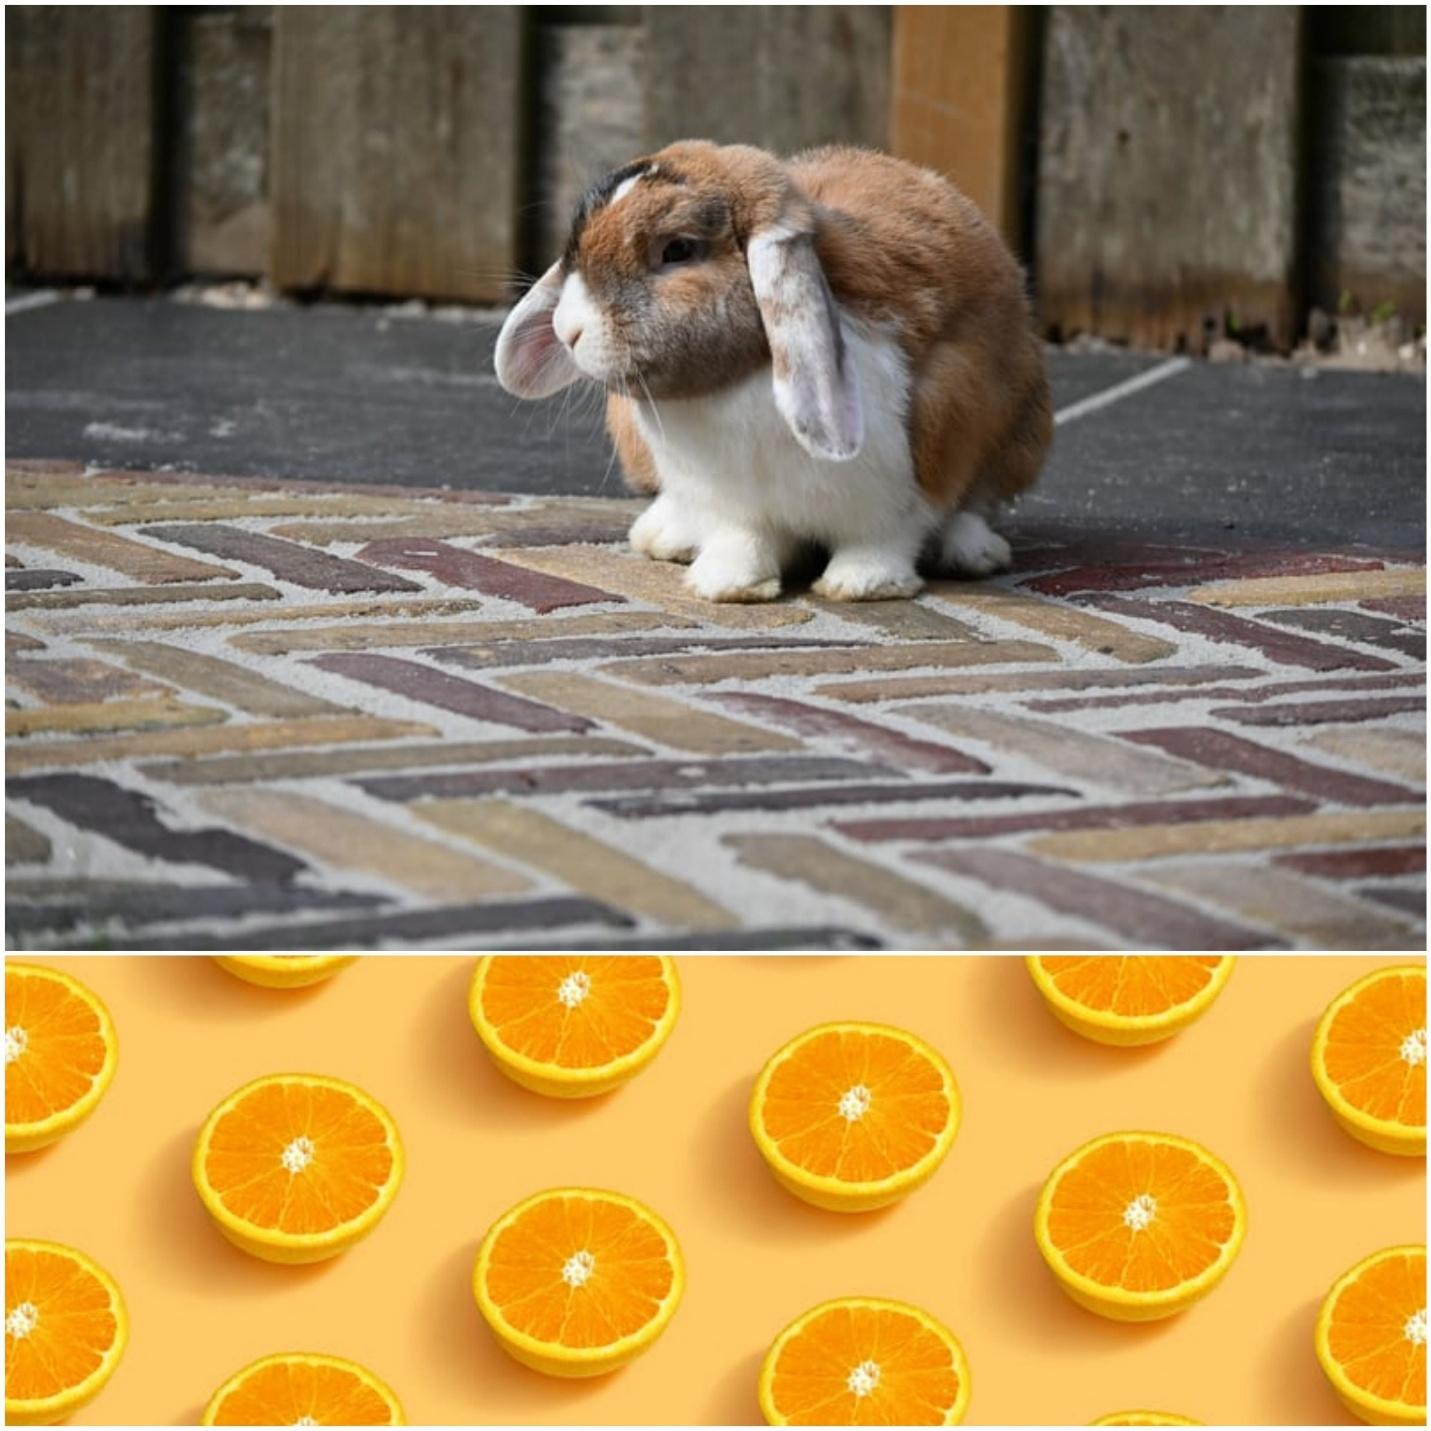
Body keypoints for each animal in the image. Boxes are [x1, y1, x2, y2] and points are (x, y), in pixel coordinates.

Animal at [494, 140, 1051, 602]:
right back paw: (665, 536)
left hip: (1017, 437)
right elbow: (745, 540)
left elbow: (883, 536)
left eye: (677, 250)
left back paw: (970, 553)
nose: (568, 329)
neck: (739, 382)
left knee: (974, 502)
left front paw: (862, 585)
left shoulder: (914, 471)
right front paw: (726, 585)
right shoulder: (734, 505)